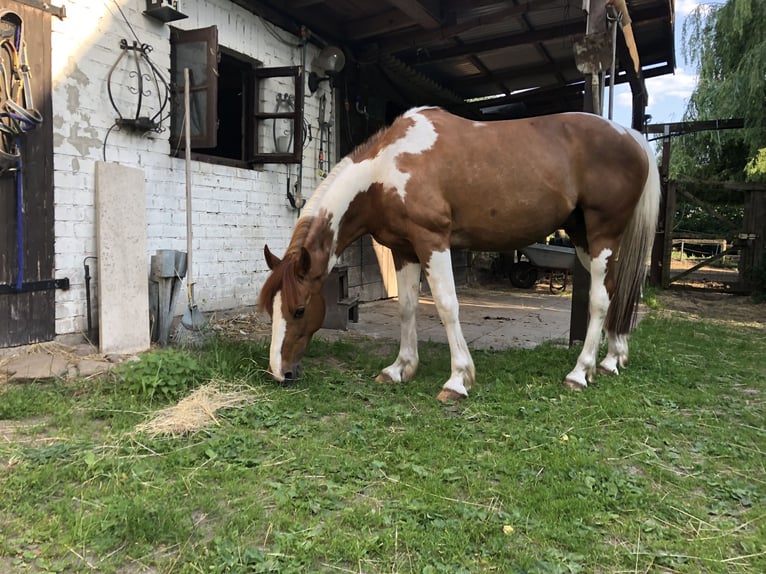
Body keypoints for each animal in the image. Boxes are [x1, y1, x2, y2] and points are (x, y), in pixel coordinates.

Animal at [258, 109, 660, 404]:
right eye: (270, 310)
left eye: (298, 310)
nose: (280, 372)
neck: (386, 169)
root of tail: (632, 136)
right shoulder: (404, 249)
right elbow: (407, 307)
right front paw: (400, 369)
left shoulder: (432, 240)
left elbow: (447, 305)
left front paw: (458, 379)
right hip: (583, 238)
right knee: (614, 291)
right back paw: (611, 361)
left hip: (602, 234)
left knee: (599, 300)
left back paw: (580, 372)